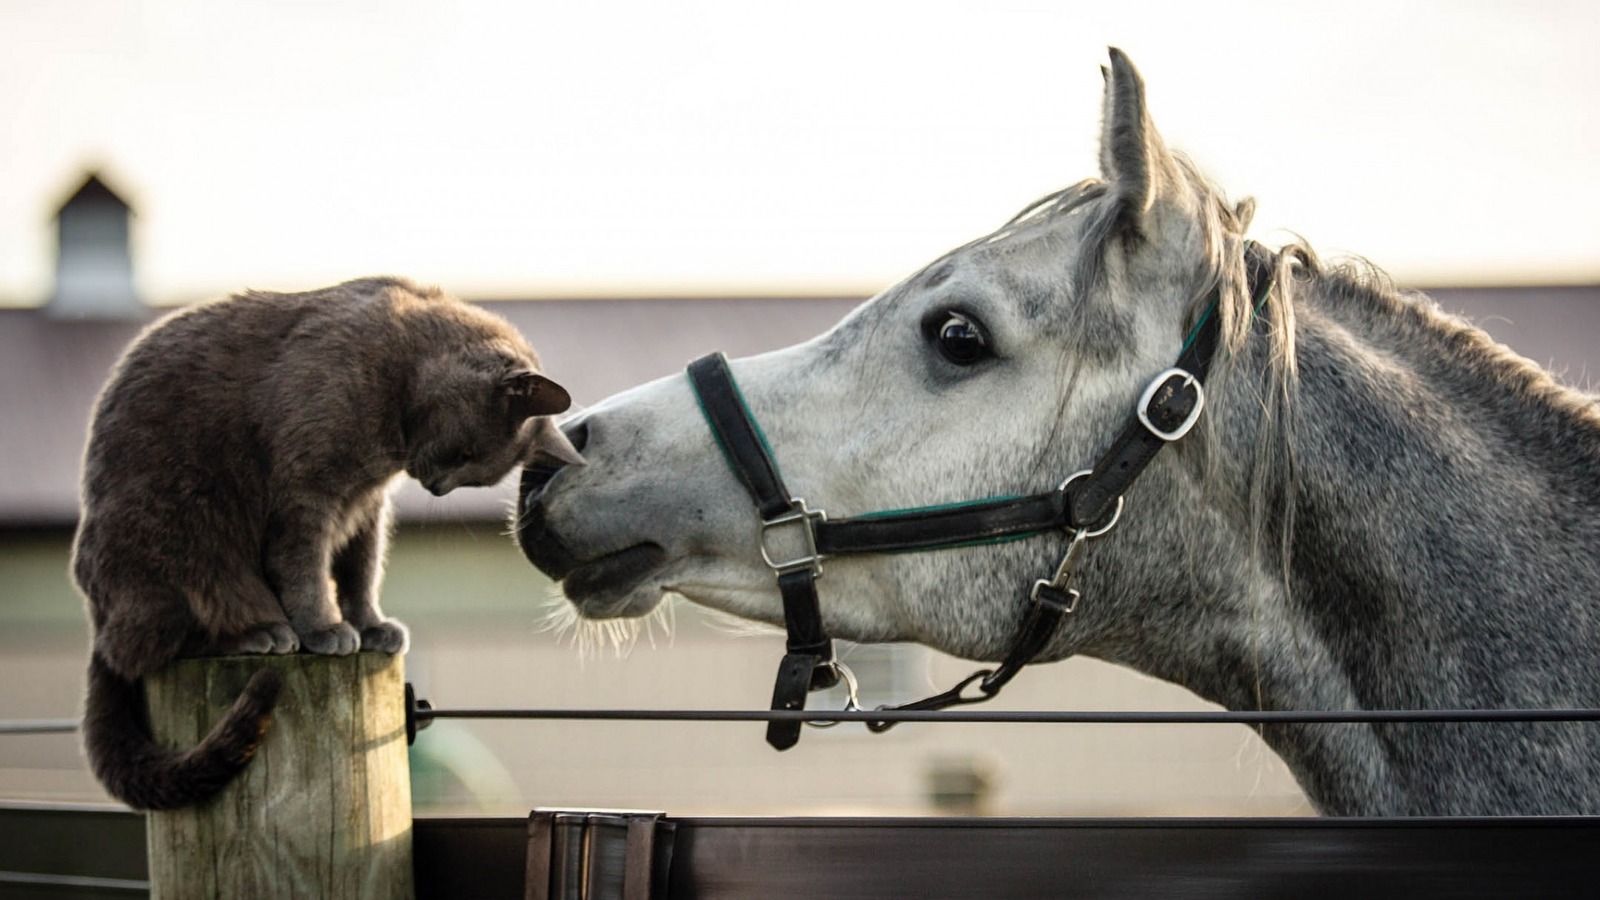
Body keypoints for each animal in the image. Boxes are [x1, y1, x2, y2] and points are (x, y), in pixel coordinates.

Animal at [73, 273, 588, 807]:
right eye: (466, 452)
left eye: (476, 476)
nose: (438, 487)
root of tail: (97, 617)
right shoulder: (307, 493)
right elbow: (306, 569)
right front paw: (325, 629)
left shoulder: (366, 509)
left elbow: (361, 572)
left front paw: (372, 626)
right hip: (182, 532)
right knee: (149, 645)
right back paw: (261, 632)